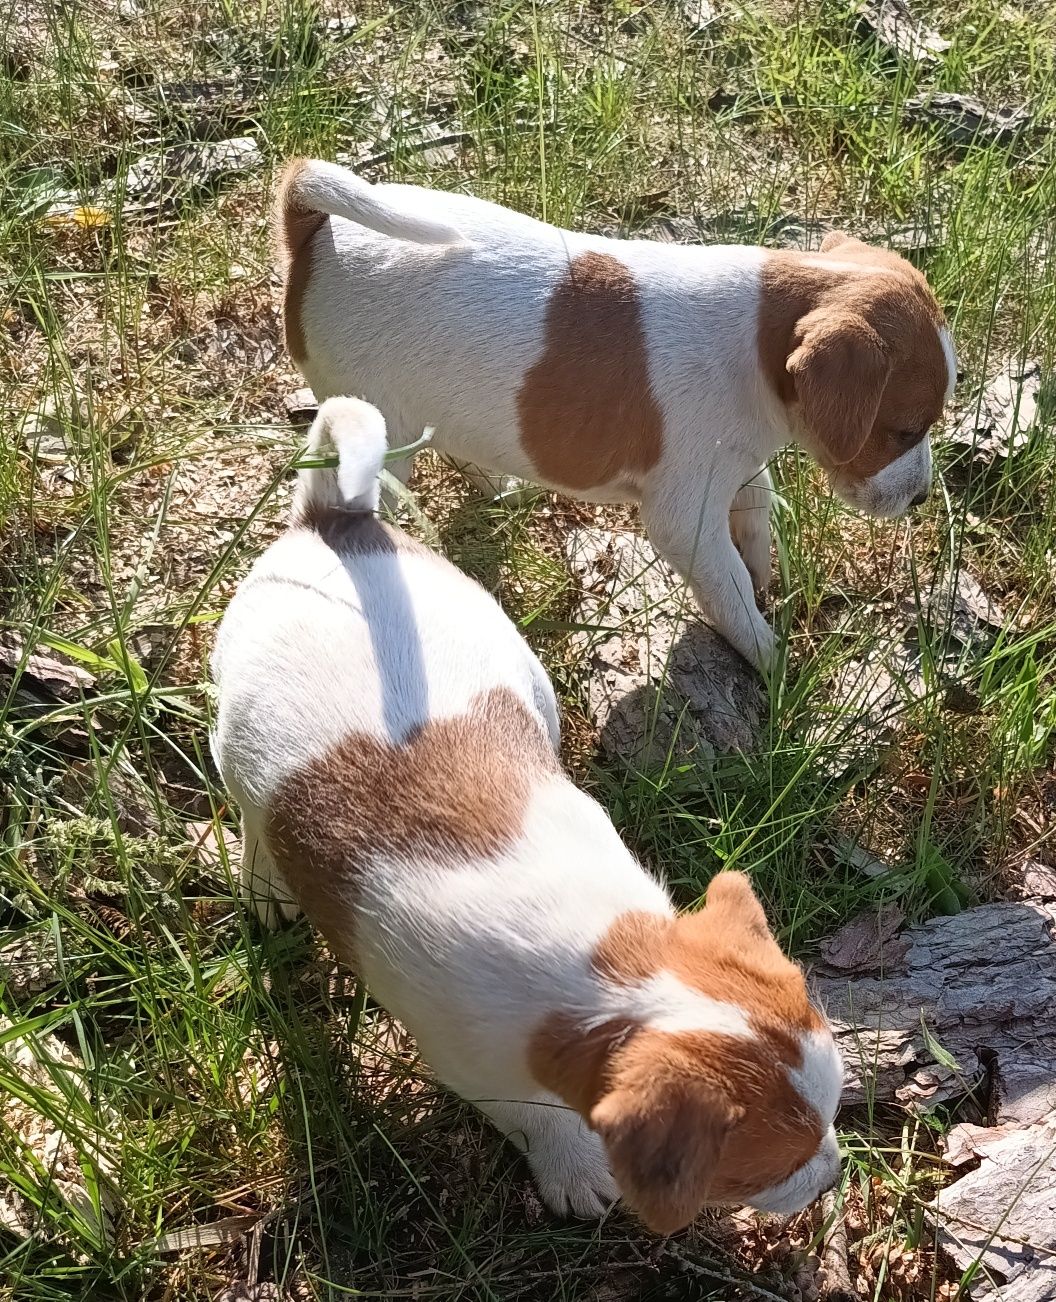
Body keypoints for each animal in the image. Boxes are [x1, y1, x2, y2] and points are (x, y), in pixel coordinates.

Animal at [210, 395, 848, 1229]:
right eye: (770, 1170)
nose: (835, 1177)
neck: (613, 970)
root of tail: (334, 520)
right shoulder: (474, 1064)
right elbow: (534, 1117)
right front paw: (572, 1167)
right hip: (231, 739)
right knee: (251, 814)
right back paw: (265, 885)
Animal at [272, 158, 958, 671]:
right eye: (903, 430)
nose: (923, 498)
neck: (756, 341)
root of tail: (317, 231)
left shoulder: (731, 467)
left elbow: (757, 508)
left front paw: (765, 568)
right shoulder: (685, 519)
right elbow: (731, 595)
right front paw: (773, 659)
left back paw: (501, 486)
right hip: (381, 424)